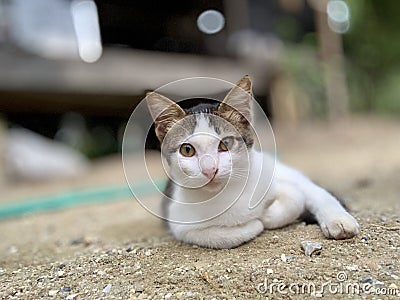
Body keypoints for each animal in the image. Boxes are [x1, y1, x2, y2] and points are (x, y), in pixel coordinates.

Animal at [146, 75, 360, 248]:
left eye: (225, 143)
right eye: (187, 150)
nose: (210, 170)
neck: (230, 192)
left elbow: (300, 195)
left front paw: (269, 216)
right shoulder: (180, 222)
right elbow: (218, 236)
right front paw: (255, 223)